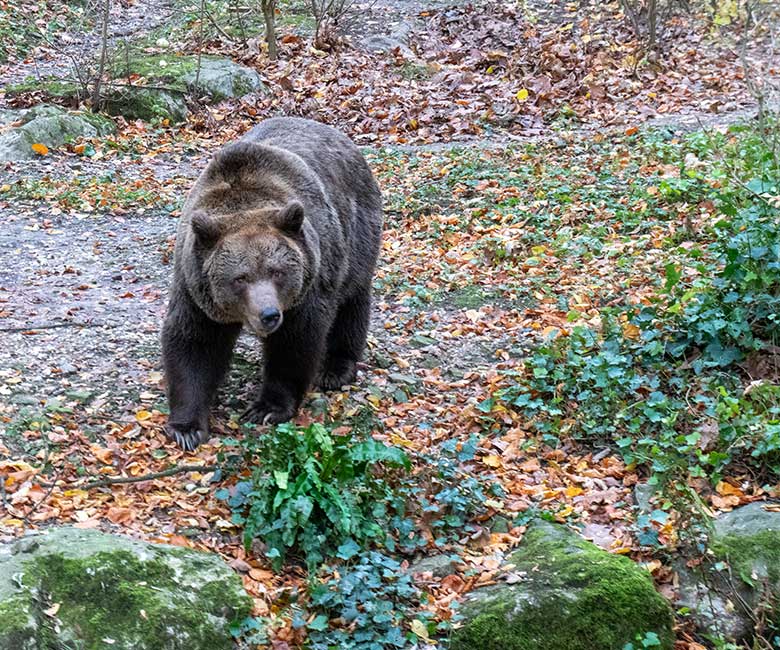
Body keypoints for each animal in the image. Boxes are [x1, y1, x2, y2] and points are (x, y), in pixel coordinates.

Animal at [161, 116, 384, 448]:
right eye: (240, 278)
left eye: (277, 271)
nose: (269, 314)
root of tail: (339, 135)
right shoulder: (194, 285)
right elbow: (194, 343)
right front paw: (186, 428)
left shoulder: (307, 287)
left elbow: (295, 341)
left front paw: (267, 408)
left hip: (355, 236)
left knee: (351, 302)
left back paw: (336, 369)